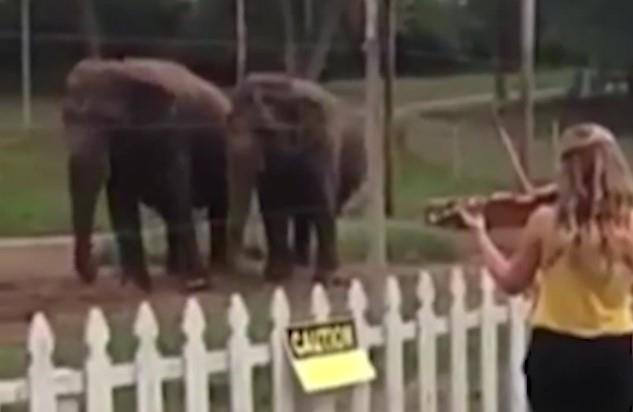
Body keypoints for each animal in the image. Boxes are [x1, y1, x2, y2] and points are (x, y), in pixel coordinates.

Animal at [61, 57, 231, 291]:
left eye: (110, 121)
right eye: (65, 118)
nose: (95, 265)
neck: (125, 70)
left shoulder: (173, 134)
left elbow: (178, 196)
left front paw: (198, 283)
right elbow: (120, 200)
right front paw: (135, 285)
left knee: (216, 208)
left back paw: (215, 270)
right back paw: (173, 271)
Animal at [226, 73, 367, 283]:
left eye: (265, 131)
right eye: (227, 125)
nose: (255, 252)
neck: (282, 85)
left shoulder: (322, 141)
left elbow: (322, 201)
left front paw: (325, 278)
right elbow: (272, 205)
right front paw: (276, 275)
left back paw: (305, 263)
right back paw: (299, 262)